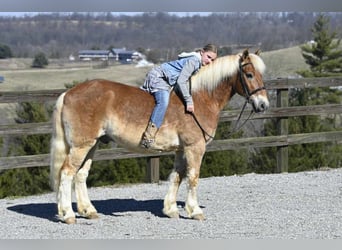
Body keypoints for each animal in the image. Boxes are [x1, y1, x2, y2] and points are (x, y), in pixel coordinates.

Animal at [49, 49, 268, 225]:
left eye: (260, 75)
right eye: (249, 74)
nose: (263, 105)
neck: (199, 98)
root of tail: (68, 93)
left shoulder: (181, 150)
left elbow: (177, 176)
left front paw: (171, 209)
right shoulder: (195, 147)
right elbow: (193, 178)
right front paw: (195, 211)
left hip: (91, 145)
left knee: (80, 175)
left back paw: (88, 211)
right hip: (81, 146)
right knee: (67, 173)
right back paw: (68, 214)